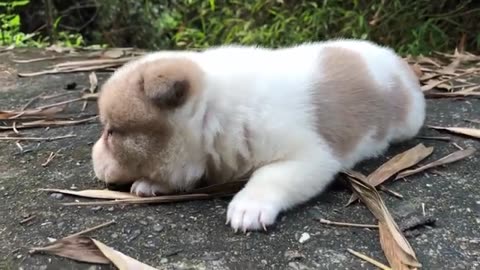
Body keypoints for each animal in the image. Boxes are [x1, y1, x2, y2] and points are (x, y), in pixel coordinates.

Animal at [92, 38, 426, 232]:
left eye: (111, 132)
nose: (92, 160)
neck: (214, 111)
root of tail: (400, 63)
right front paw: (151, 184)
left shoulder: (308, 157)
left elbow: (268, 176)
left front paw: (248, 207)